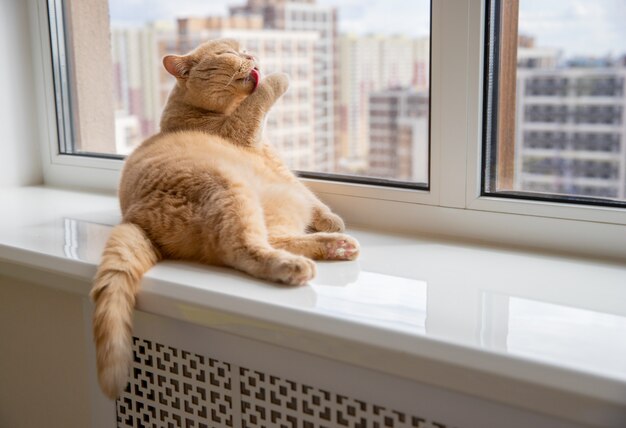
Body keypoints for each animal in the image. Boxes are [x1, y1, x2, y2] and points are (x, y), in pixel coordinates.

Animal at [90, 38, 358, 400]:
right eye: (228, 53)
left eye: (244, 49)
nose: (251, 55)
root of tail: (133, 218)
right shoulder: (244, 131)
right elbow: (261, 98)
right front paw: (278, 76)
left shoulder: (283, 174)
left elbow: (313, 200)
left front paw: (331, 220)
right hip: (229, 189)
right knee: (243, 249)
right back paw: (293, 267)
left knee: (278, 238)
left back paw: (337, 245)